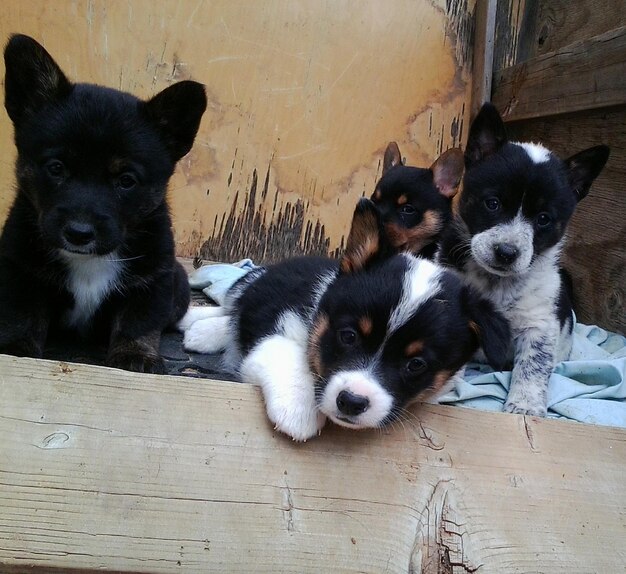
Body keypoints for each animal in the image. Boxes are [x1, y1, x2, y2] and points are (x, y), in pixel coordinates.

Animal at [179, 200, 508, 444]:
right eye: (348, 336)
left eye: (416, 364)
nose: (351, 401)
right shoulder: (275, 317)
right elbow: (285, 351)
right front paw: (299, 410)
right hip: (252, 286)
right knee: (232, 307)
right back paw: (198, 326)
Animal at [436, 104, 608, 418]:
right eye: (492, 203)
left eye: (544, 219)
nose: (506, 252)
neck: (497, 283)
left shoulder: (539, 326)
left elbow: (532, 367)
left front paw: (525, 406)